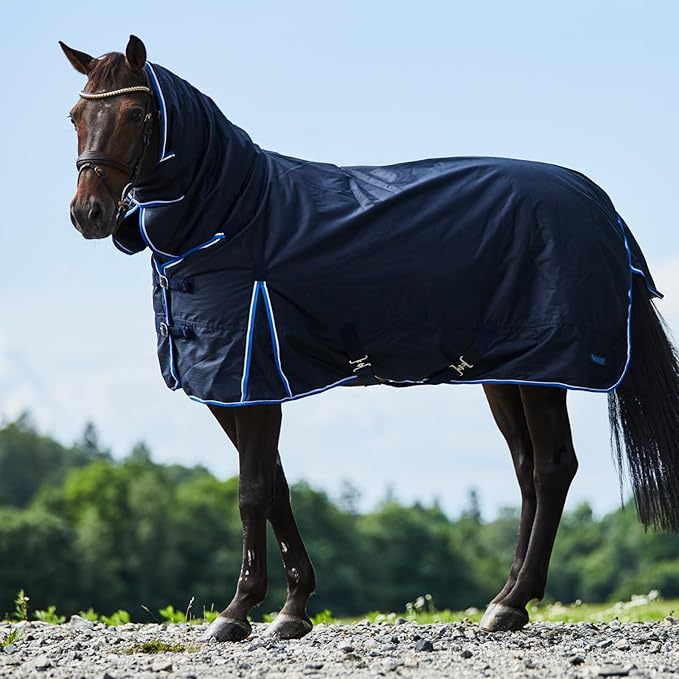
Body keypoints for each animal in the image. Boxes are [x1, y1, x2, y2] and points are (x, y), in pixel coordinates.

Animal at [60, 35, 679, 642]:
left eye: (136, 112)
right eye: (75, 115)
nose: (89, 214)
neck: (232, 216)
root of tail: (598, 203)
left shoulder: (249, 377)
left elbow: (252, 490)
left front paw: (237, 611)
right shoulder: (232, 390)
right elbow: (276, 485)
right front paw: (293, 609)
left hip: (544, 374)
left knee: (552, 469)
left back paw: (513, 604)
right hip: (506, 373)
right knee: (528, 471)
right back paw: (503, 599)